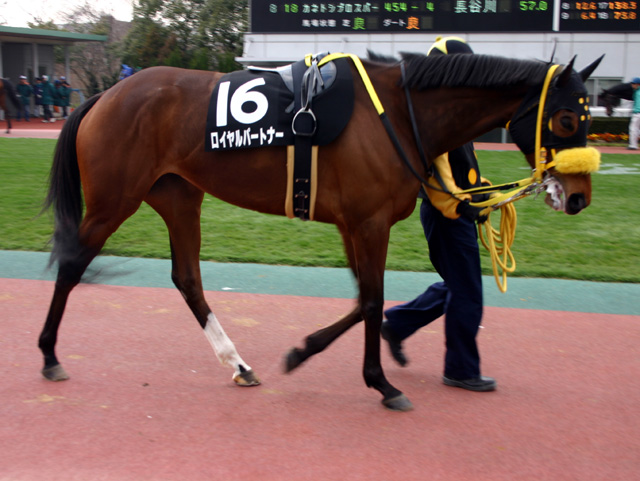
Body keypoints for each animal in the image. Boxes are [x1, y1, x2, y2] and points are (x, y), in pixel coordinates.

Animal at [39, 52, 602, 411]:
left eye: (588, 115)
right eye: (568, 118)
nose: (579, 196)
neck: (398, 113)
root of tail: (103, 95)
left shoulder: (354, 224)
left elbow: (362, 301)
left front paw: (303, 351)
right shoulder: (369, 223)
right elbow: (372, 301)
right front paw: (382, 384)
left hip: (179, 196)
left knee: (187, 279)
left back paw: (238, 364)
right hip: (115, 200)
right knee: (74, 262)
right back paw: (49, 355)